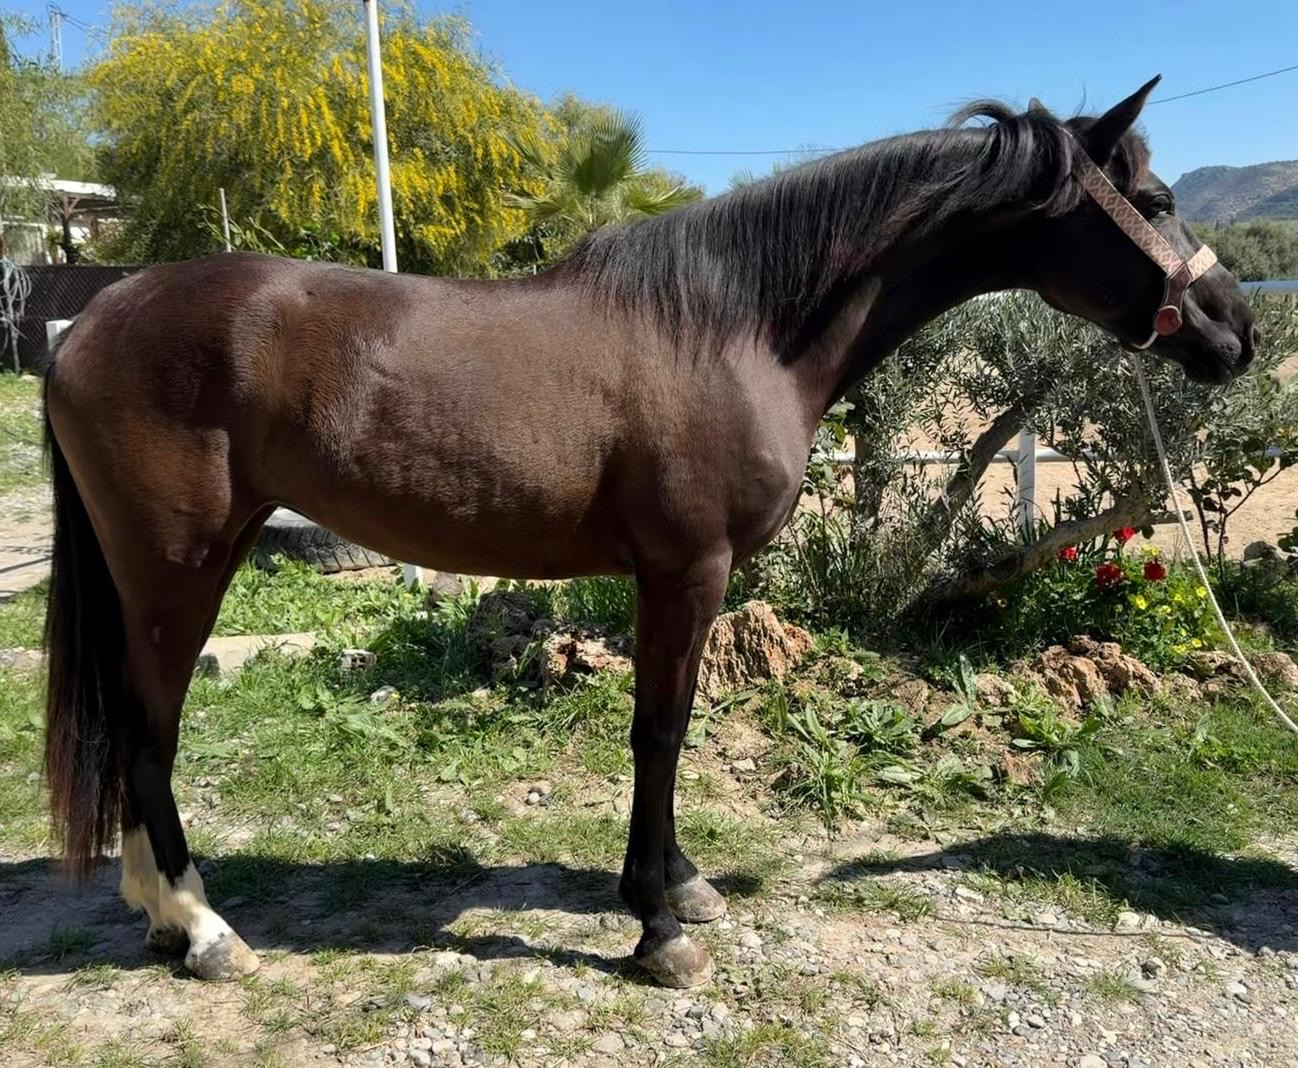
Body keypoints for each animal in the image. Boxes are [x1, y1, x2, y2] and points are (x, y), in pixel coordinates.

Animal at [42, 77, 1256, 988]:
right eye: (1151, 195)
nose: (1234, 330)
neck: (729, 327)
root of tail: (89, 319)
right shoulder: (687, 570)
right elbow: (660, 732)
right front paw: (656, 925)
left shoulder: (670, 579)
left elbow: (665, 727)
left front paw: (679, 885)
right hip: (178, 570)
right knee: (148, 733)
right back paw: (200, 928)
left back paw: (161, 914)